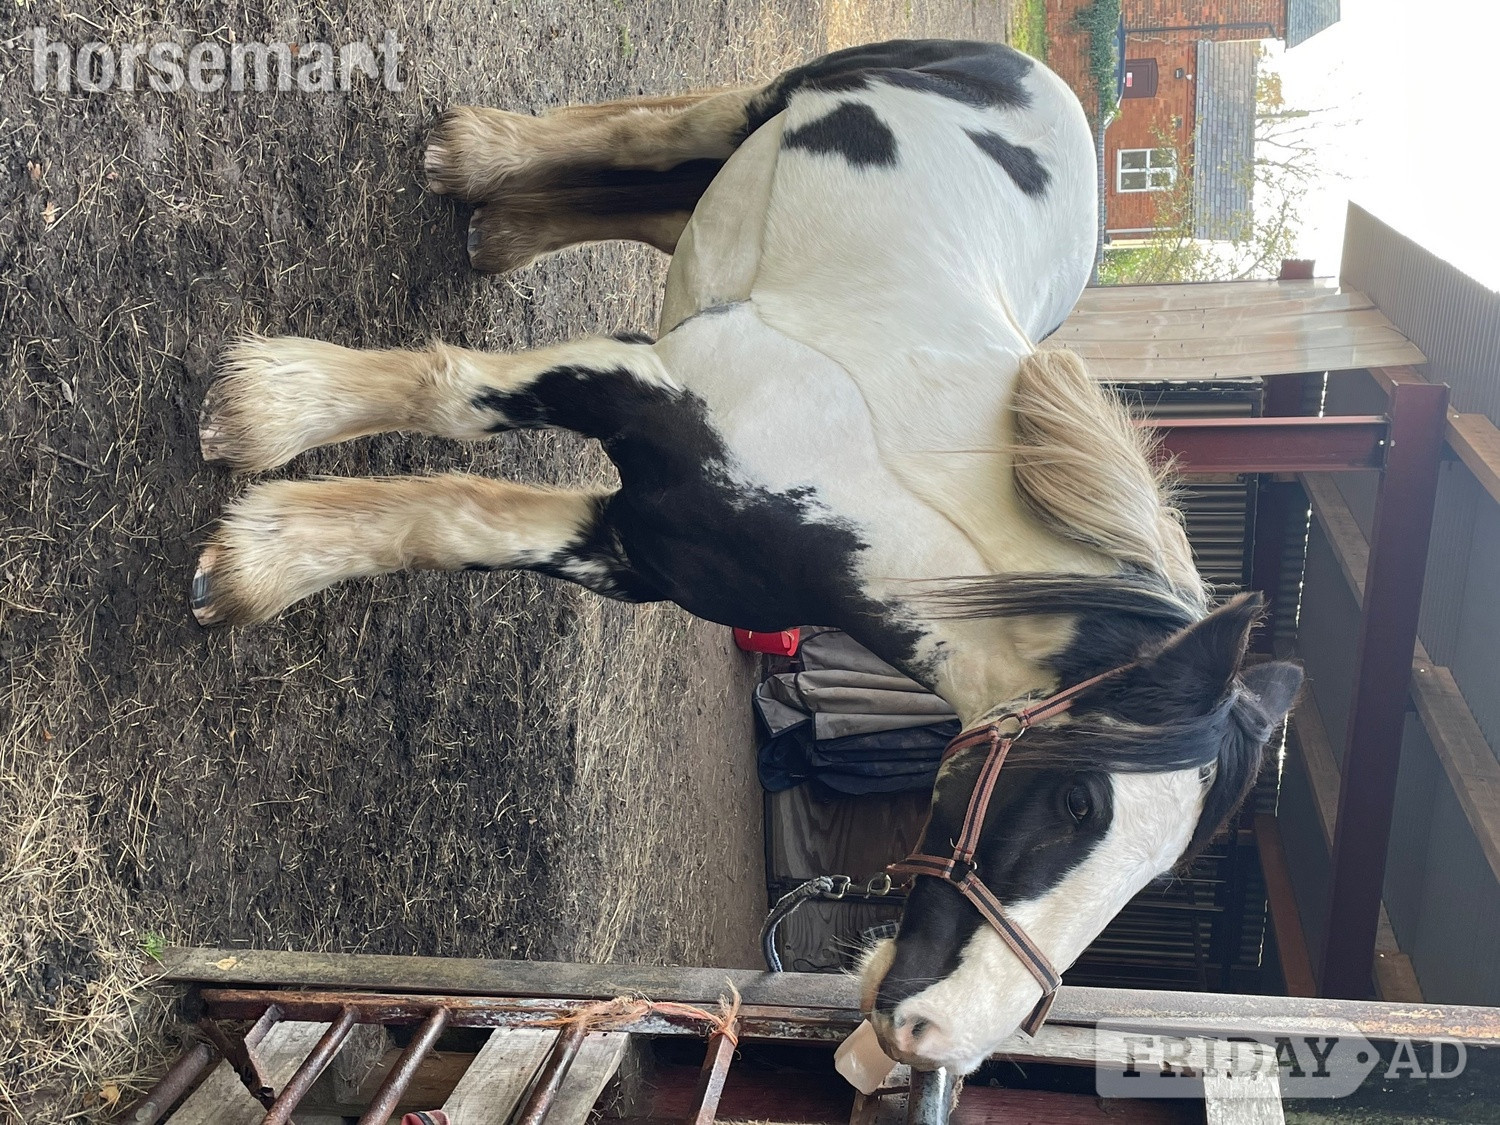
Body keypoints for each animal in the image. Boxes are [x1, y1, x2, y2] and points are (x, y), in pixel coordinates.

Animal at [190, 40, 1303, 1074]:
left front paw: (257, 562)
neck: (869, 482)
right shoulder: (634, 383)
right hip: (774, 98)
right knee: (652, 134)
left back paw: (494, 226)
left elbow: (456, 525)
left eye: (1159, 876)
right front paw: (265, 412)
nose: (937, 1038)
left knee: (656, 201)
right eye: (1081, 801)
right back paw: (471, 156)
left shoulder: (639, 550)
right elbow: (456, 401)